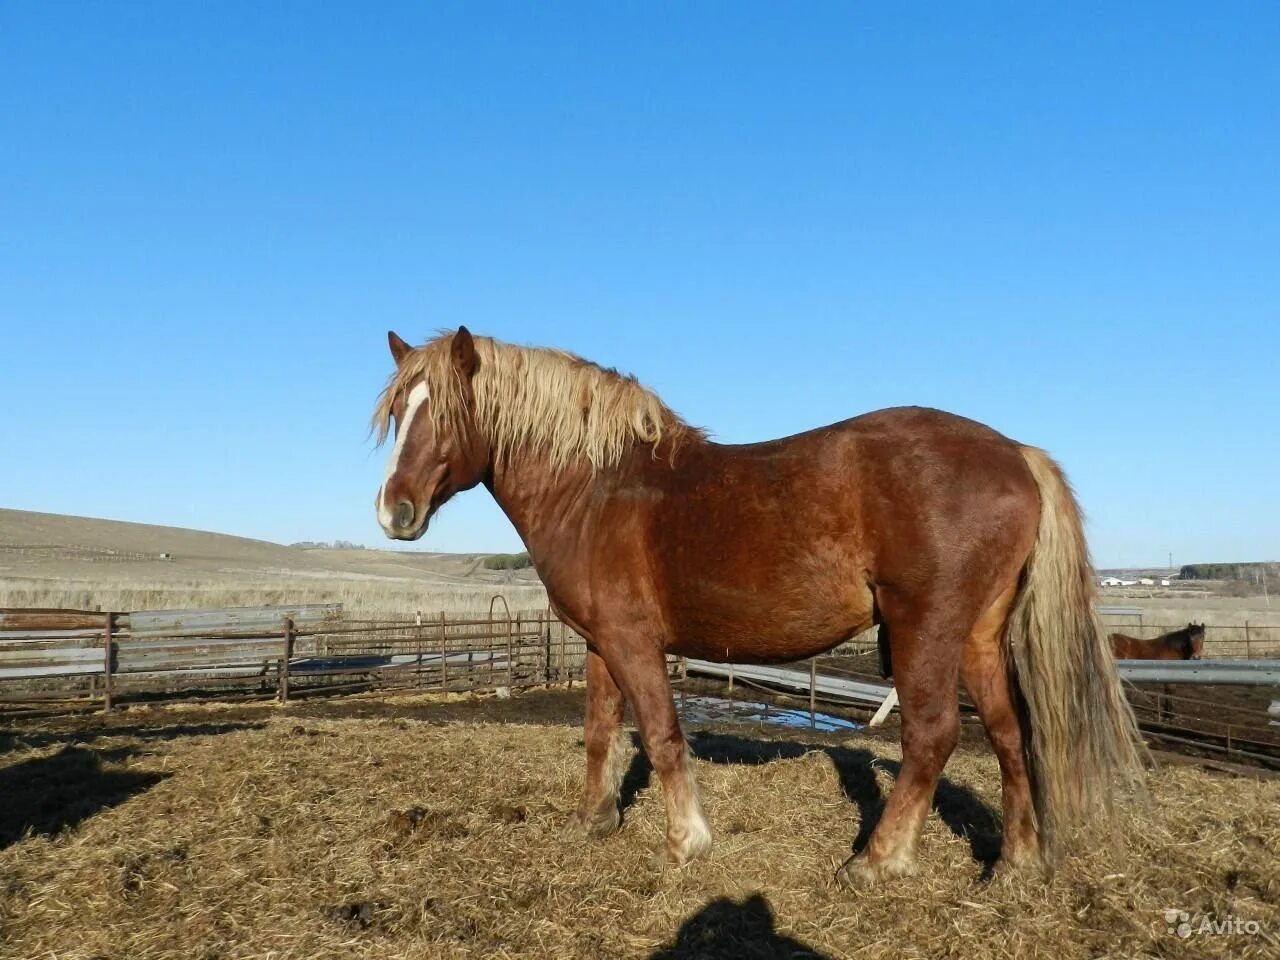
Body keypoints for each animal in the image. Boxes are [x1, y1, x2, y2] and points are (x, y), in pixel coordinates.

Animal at [368, 330, 1141, 885]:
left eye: (450, 410)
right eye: (399, 412)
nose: (394, 511)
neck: (597, 488)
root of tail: (1017, 453)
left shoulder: (634, 642)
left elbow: (662, 736)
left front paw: (686, 842)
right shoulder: (598, 644)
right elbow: (597, 732)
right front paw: (595, 820)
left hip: (926, 628)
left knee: (932, 736)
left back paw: (877, 861)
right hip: (980, 636)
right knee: (1011, 735)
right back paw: (1015, 865)